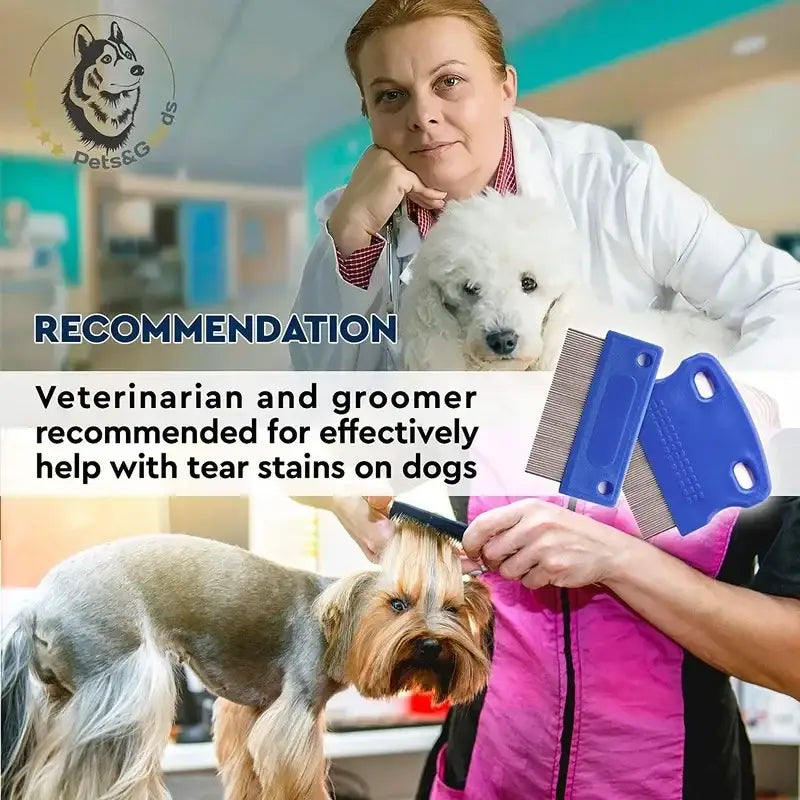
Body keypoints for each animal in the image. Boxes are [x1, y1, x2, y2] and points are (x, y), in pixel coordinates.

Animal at [1, 528, 494, 796]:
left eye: (453, 608)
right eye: (397, 604)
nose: (431, 645)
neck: (337, 628)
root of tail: (34, 607)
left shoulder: (252, 713)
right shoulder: (293, 717)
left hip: (62, 697)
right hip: (122, 683)